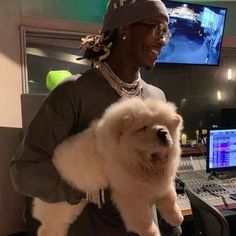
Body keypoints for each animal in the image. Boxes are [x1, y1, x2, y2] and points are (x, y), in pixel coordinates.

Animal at [32, 97, 184, 236]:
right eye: (143, 128)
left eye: (165, 125)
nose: (162, 132)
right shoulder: (130, 193)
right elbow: (144, 219)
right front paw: (152, 232)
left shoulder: (162, 180)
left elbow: (170, 198)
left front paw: (177, 218)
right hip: (62, 206)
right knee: (46, 228)